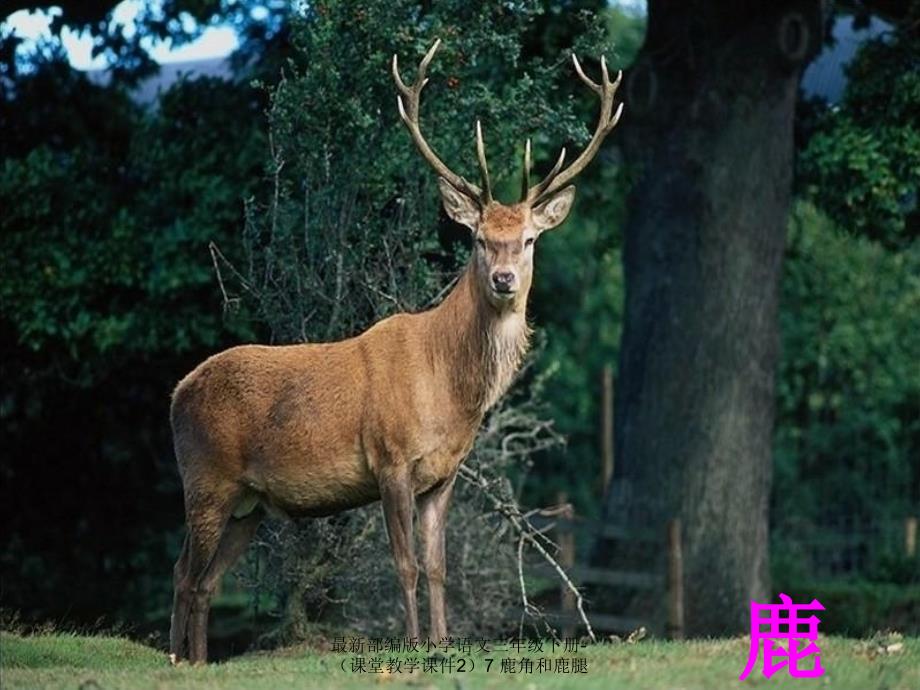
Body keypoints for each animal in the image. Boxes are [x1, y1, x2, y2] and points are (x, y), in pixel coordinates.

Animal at [169, 37, 620, 660]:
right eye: (478, 238)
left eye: (529, 239)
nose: (504, 279)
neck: (449, 393)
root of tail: (175, 393)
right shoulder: (389, 458)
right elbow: (403, 564)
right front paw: (411, 644)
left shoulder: (443, 474)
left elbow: (438, 567)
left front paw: (445, 642)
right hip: (205, 477)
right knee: (185, 573)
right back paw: (176, 658)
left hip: (248, 502)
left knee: (203, 578)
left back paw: (197, 661)